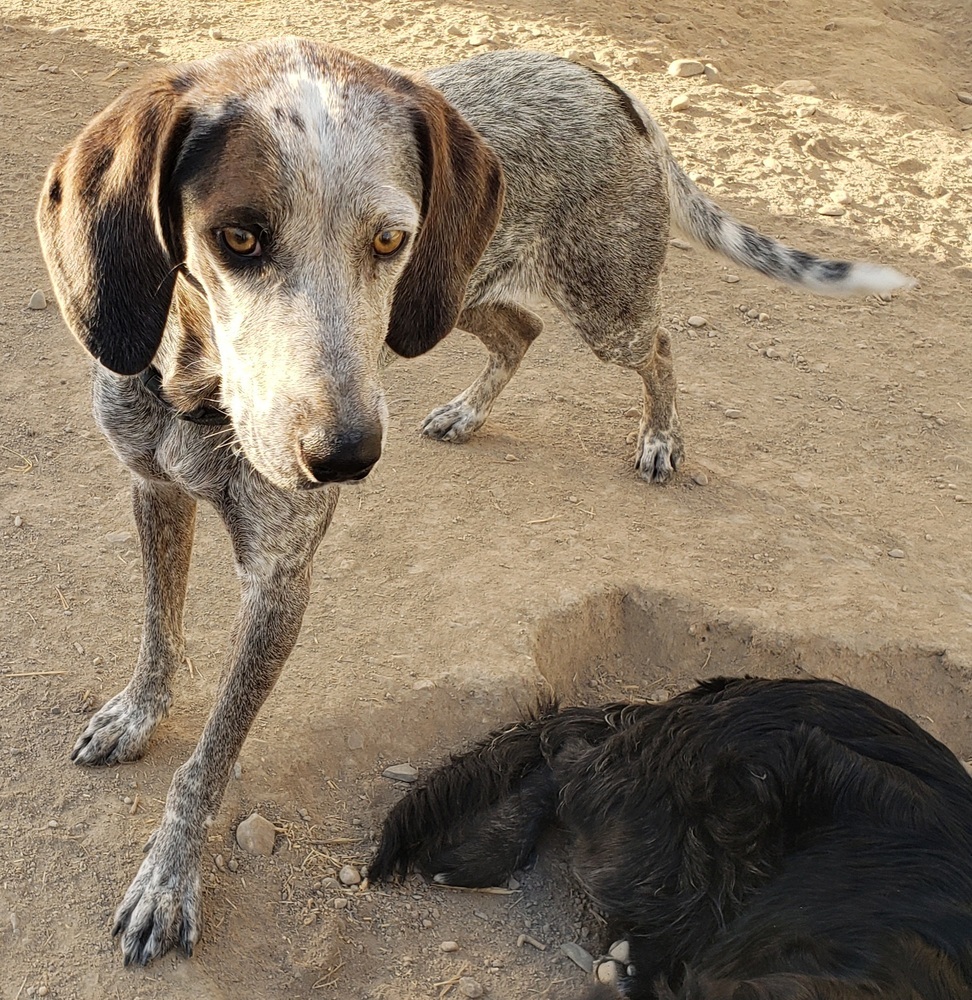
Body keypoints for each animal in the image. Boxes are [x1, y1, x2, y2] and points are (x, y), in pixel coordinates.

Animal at [38, 41, 912, 968]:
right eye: (235, 237)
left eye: (390, 237)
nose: (346, 459)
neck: (194, 397)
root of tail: (600, 80)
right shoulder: (153, 490)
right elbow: (157, 635)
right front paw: (137, 716)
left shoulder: (280, 580)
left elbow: (206, 763)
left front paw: (169, 881)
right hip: (453, 296)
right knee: (522, 333)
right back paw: (467, 413)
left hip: (591, 305)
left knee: (659, 343)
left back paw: (659, 438)